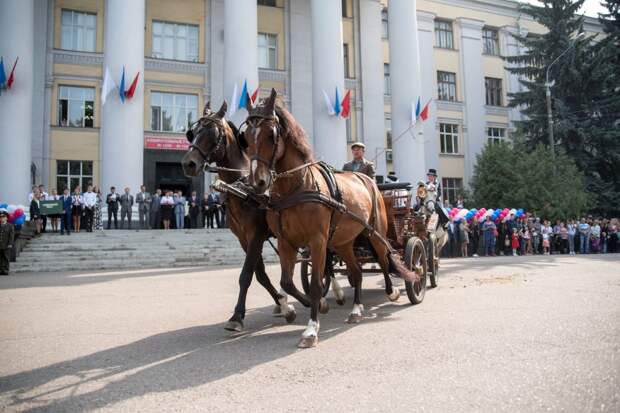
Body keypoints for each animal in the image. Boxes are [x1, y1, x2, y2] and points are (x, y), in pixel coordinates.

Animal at [179, 100, 300, 332]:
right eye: (193, 133)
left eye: (212, 133)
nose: (188, 164)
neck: (242, 188)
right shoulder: (243, 238)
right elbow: (260, 274)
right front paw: (283, 305)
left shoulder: (256, 235)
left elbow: (246, 275)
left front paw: (236, 316)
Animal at [242, 90, 416, 348]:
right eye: (245, 136)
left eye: (271, 134)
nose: (257, 183)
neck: (296, 188)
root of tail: (368, 180)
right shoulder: (286, 243)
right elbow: (287, 282)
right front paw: (316, 305)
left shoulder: (317, 240)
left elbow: (315, 284)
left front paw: (311, 330)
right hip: (344, 242)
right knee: (356, 272)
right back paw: (356, 310)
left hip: (374, 234)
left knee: (385, 261)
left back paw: (392, 291)